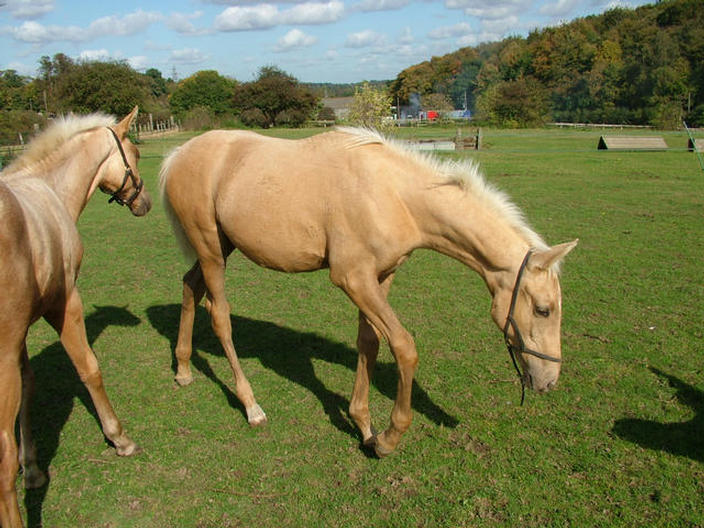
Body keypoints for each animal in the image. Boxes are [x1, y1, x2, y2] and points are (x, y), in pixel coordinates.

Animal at [0, 107, 150, 528]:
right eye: (134, 152)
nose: (146, 201)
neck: (49, 188)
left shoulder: (19, 333)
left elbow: (29, 385)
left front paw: (33, 468)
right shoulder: (65, 303)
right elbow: (89, 368)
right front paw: (119, 438)